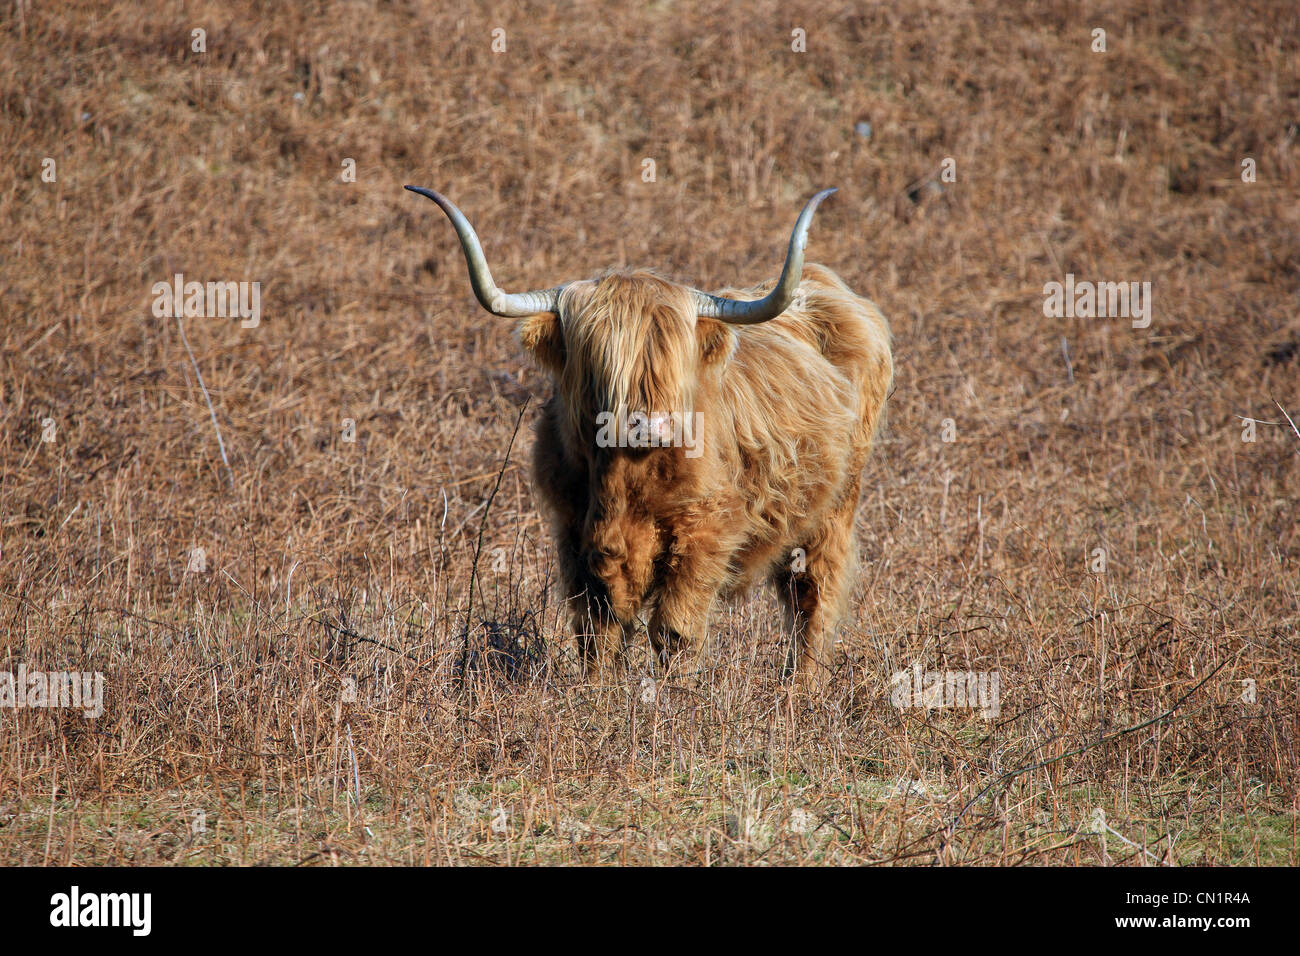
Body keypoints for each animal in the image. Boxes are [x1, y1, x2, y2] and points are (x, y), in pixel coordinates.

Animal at [408, 187, 894, 691]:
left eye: (672, 358)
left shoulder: (705, 534)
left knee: (814, 596)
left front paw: (676, 696)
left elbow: (675, 631)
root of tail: (825, 284)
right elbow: (596, 629)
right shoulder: (573, 534)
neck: (624, 481)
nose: (651, 425)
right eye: (600, 360)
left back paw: (803, 688)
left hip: (834, 509)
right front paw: (595, 694)